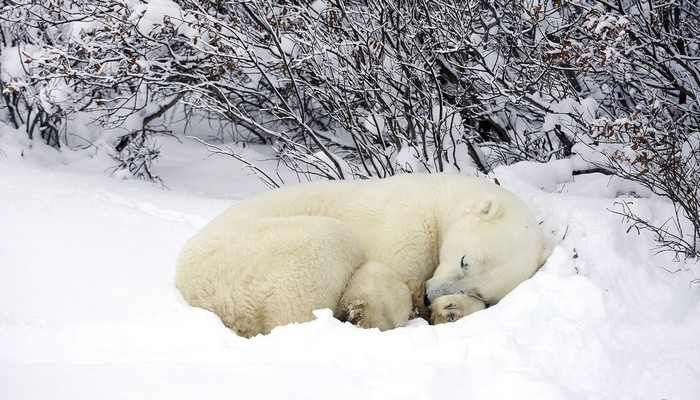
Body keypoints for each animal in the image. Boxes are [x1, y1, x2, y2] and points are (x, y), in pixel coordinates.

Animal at [174, 173, 548, 338]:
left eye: (479, 291)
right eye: (464, 260)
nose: (431, 297)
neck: (442, 199)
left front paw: (451, 310)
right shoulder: (407, 222)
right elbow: (381, 274)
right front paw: (373, 314)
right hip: (243, 258)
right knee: (327, 245)